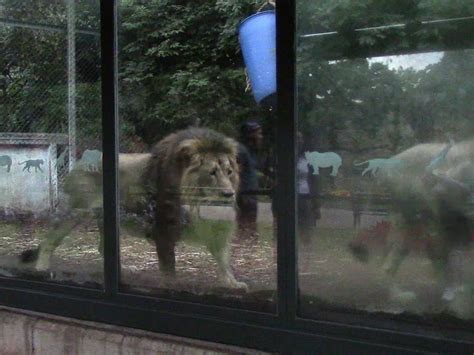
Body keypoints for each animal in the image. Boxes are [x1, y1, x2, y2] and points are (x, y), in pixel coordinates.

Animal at [19, 129, 246, 290]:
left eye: (229, 172)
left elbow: (223, 259)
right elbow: (169, 268)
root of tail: (80, 162)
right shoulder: (162, 231)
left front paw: (232, 283)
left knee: (102, 248)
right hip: (74, 212)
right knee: (49, 241)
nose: (229, 194)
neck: (199, 202)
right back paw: (42, 269)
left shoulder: (214, 229)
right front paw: (172, 286)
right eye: (212, 173)